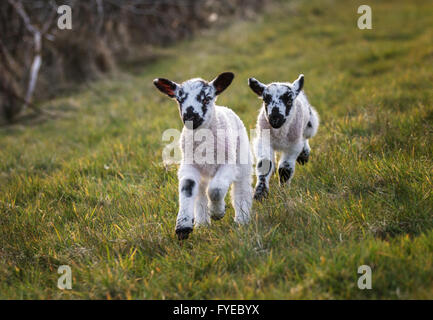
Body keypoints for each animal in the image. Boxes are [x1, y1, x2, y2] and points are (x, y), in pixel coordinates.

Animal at [153, 72, 251, 238]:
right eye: (179, 100)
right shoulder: (189, 166)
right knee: (200, 193)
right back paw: (202, 224)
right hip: (202, 172)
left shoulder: (228, 164)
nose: (190, 117)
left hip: (241, 158)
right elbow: (187, 187)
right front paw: (183, 228)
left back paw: (242, 220)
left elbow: (216, 190)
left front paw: (217, 212)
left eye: (206, 98)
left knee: (241, 189)